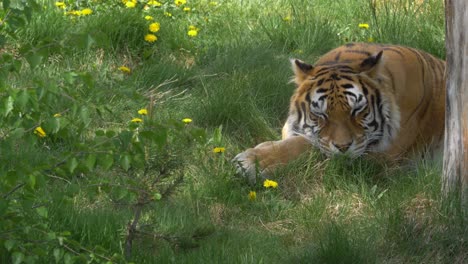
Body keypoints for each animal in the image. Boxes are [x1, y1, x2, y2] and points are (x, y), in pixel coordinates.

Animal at [234, 42, 446, 184]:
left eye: (357, 110)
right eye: (320, 114)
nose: (343, 148)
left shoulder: (381, 155)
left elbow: (311, 146)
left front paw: (251, 162)